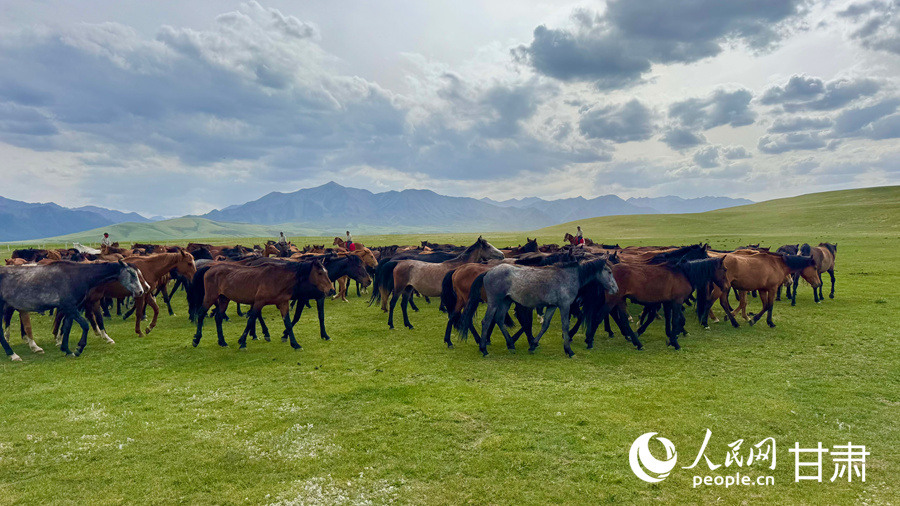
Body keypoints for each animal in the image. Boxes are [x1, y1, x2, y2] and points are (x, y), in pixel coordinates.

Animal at [0, 260, 144, 359]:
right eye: (132, 274)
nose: (140, 291)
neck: (77, 276)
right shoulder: (69, 306)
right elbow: (85, 325)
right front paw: (79, 348)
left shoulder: (70, 308)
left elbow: (67, 327)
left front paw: (67, 349)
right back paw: (12, 354)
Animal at [188, 259, 333, 350]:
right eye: (320, 272)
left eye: (327, 271)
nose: (331, 290)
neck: (278, 279)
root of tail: (210, 268)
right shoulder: (259, 302)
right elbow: (251, 319)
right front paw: (243, 343)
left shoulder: (283, 303)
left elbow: (288, 322)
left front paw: (295, 344)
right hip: (210, 297)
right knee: (201, 314)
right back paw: (196, 340)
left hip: (224, 299)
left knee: (218, 318)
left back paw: (222, 342)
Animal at [461, 257, 617, 357]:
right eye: (609, 271)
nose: (616, 289)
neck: (568, 276)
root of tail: (488, 272)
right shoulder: (564, 305)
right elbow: (565, 326)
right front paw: (569, 350)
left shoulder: (552, 306)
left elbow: (545, 325)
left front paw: (533, 345)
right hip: (494, 302)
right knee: (486, 322)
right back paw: (484, 349)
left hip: (506, 301)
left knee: (499, 319)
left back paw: (511, 344)